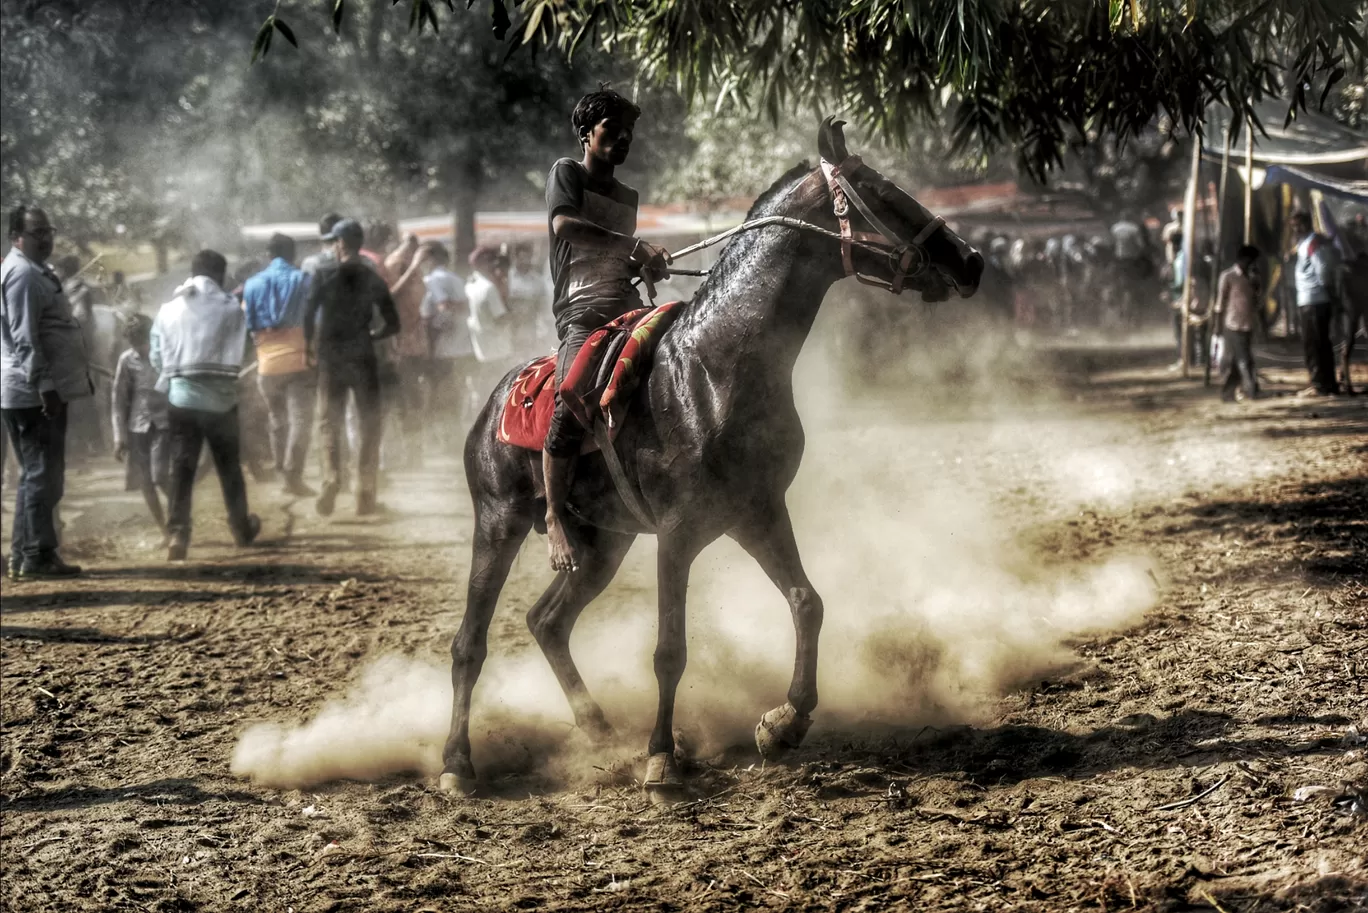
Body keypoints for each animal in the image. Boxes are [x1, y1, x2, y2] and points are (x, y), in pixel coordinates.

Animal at [437, 119, 984, 793]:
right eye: (883, 194)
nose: (971, 261)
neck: (713, 369)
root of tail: (494, 405)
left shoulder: (756, 510)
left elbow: (807, 602)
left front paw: (783, 723)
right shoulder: (677, 533)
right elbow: (670, 650)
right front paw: (661, 759)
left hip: (603, 543)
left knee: (548, 621)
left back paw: (598, 730)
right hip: (499, 522)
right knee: (470, 643)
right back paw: (458, 765)